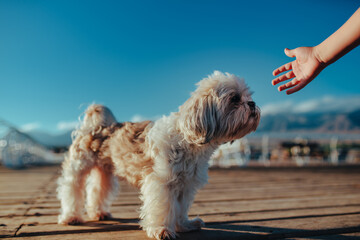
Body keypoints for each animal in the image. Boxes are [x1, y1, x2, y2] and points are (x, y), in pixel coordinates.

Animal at [57, 70, 258, 239]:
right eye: (234, 99)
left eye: (249, 96)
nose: (252, 104)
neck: (187, 138)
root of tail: (96, 126)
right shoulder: (162, 182)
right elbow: (163, 207)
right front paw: (161, 230)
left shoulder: (186, 184)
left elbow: (180, 208)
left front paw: (185, 225)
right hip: (78, 167)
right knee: (71, 190)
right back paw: (71, 217)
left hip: (104, 171)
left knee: (97, 190)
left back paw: (99, 213)